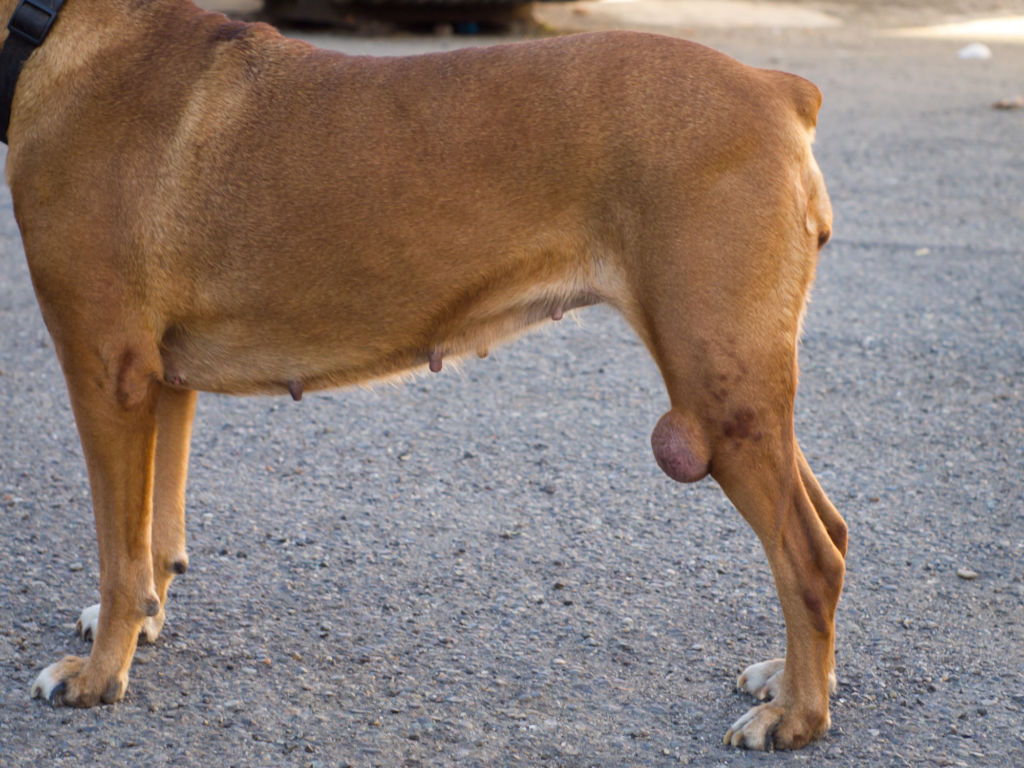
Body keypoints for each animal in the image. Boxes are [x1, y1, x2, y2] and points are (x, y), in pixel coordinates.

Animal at [8, 0, 843, 753]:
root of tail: (777, 88)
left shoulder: (107, 371)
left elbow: (119, 553)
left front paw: (98, 673)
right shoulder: (165, 383)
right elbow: (155, 533)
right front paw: (141, 628)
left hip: (718, 398)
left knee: (808, 557)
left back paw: (797, 717)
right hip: (742, 395)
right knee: (828, 530)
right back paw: (792, 680)